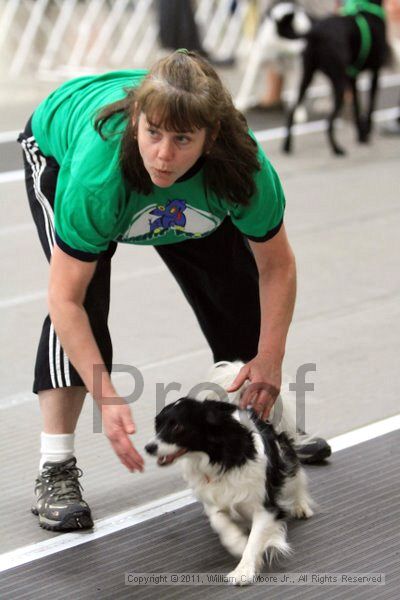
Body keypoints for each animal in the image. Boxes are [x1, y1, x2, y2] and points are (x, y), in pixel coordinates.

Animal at [145, 360, 314, 584]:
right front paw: (239, 544)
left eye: (177, 427)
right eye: (158, 426)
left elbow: (256, 538)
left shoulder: (265, 507)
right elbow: (221, 523)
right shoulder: (214, 501)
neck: (216, 458)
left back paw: (301, 506)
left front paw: (243, 570)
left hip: (284, 455)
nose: (149, 447)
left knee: (296, 476)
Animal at [282, 0, 388, 155]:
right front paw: (366, 134)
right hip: (339, 82)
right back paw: (337, 149)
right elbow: (370, 108)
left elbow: (357, 107)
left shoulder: (353, 78)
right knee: (329, 121)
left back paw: (287, 146)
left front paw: (361, 136)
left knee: (292, 111)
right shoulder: (375, 72)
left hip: (307, 76)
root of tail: (316, 31)